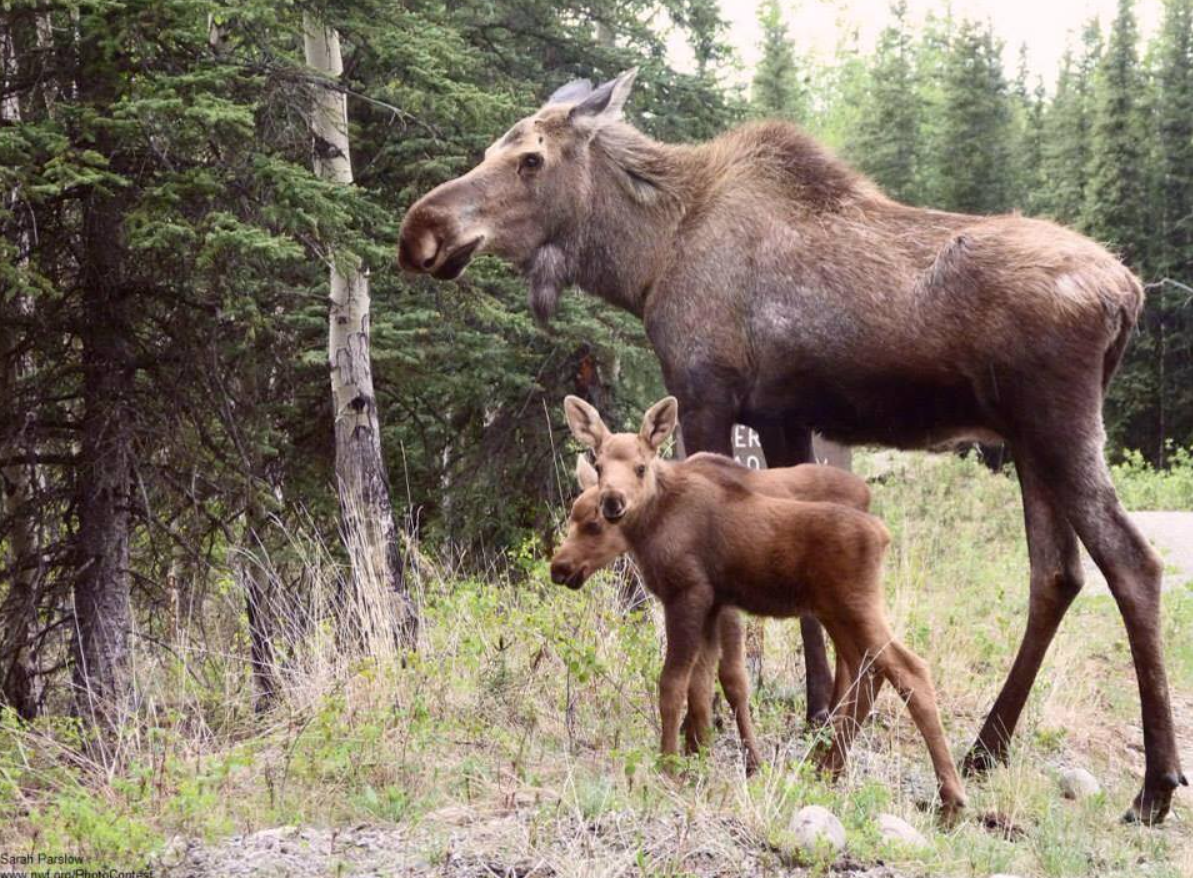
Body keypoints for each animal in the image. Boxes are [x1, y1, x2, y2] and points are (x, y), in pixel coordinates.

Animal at [560, 393, 968, 811]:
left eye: (640, 466)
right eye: (598, 464)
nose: (560, 567)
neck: (652, 527)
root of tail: (883, 535)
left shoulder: (688, 593)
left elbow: (675, 684)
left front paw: (670, 768)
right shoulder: (714, 603)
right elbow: (703, 686)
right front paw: (699, 762)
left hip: (855, 606)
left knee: (909, 669)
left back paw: (951, 795)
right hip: (837, 611)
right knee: (868, 671)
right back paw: (828, 769)